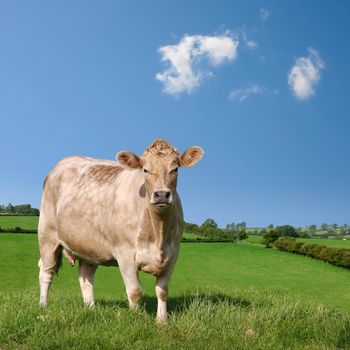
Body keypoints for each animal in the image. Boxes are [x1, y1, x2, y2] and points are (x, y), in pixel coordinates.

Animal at [37, 139, 204, 320]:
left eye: (175, 169)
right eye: (145, 169)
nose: (161, 195)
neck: (158, 231)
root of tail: (62, 163)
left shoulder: (172, 255)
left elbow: (162, 291)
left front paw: (162, 320)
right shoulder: (125, 254)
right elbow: (135, 292)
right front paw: (136, 319)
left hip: (89, 247)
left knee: (85, 277)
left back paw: (91, 309)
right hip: (47, 235)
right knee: (46, 272)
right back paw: (43, 306)